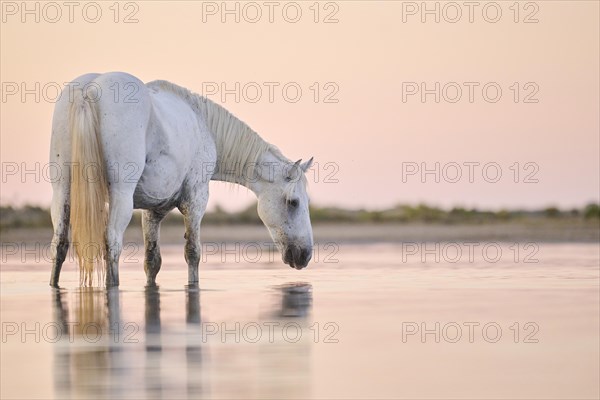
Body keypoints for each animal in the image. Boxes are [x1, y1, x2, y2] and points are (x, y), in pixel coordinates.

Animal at [49, 70, 314, 286]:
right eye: (293, 202)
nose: (305, 254)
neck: (204, 125)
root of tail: (89, 90)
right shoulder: (195, 200)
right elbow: (192, 252)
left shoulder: (152, 211)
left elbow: (152, 261)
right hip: (120, 196)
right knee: (112, 244)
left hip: (62, 192)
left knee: (59, 245)